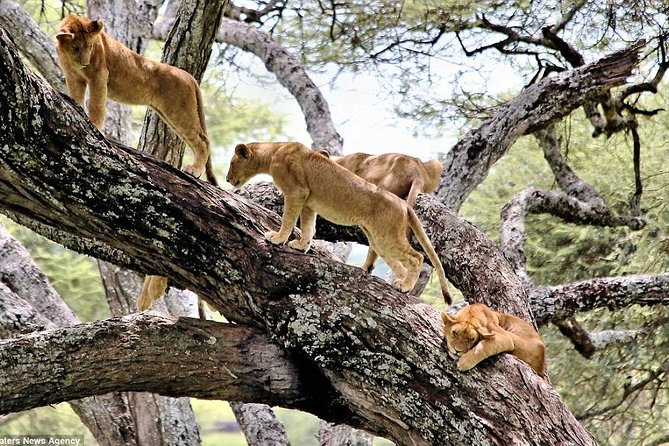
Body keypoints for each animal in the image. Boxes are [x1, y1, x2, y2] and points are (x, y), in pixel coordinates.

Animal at [55, 14, 217, 185]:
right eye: (76, 48)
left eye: (90, 47)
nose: (85, 63)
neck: (68, 56)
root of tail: (189, 76)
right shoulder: (73, 77)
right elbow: (77, 97)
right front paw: (76, 110)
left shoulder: (99, 76)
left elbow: (95, 105)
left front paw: (94, 127)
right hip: (170, 115)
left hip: (180, 111)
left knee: (203, 141)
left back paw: (194, 170)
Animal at [227, 141, 452, 304]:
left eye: (231, 164)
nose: (228, 179)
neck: (274, 150)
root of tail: (403, 204)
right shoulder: (308, 201)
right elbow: (307, 226)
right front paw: (301, 245)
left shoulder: (296, 192)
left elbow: (289, 218)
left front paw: (277, 238)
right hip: (379, 239)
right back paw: (401, 284)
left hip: (386, 236)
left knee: (417, 257)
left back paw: (405, 286)